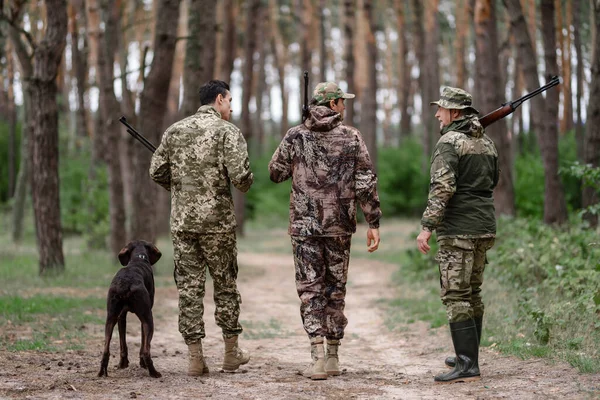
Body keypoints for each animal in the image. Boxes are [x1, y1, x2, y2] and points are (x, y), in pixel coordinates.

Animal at [99, 241, 163, 378]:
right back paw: (153, 372)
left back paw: (102, 371)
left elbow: (123, 345)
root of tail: (126, 283)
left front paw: (122, 364)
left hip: (110, 318)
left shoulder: (121, 317)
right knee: (146, 351)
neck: (138, 258)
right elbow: (143, 343)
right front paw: (141, 363)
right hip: (148, 319)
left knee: (106, 350)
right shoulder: (144, 319)